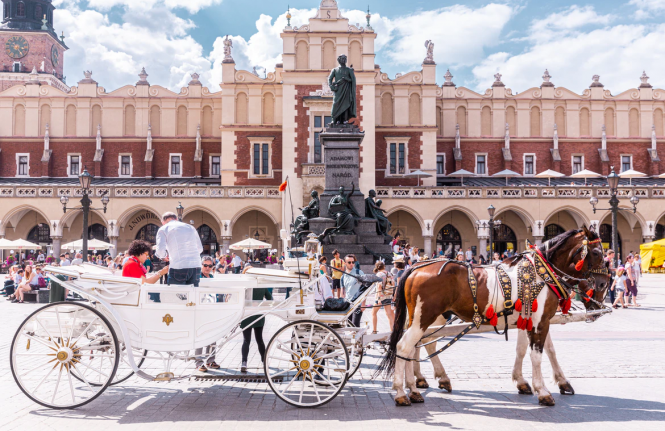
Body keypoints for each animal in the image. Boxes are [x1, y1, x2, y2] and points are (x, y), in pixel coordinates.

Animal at [376, 228, 608, 406]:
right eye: (597, 252)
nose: (604, 284)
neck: (541, 274)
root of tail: (415, 268)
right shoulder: (540, 321)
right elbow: (537, 354)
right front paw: (542, 391)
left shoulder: (529, 320)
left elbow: (531, 349)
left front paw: (531, 382)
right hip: (425, 317)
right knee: (406, 346)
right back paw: (402, 393)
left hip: (422, 318)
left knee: (415, 346)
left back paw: (416, 389)